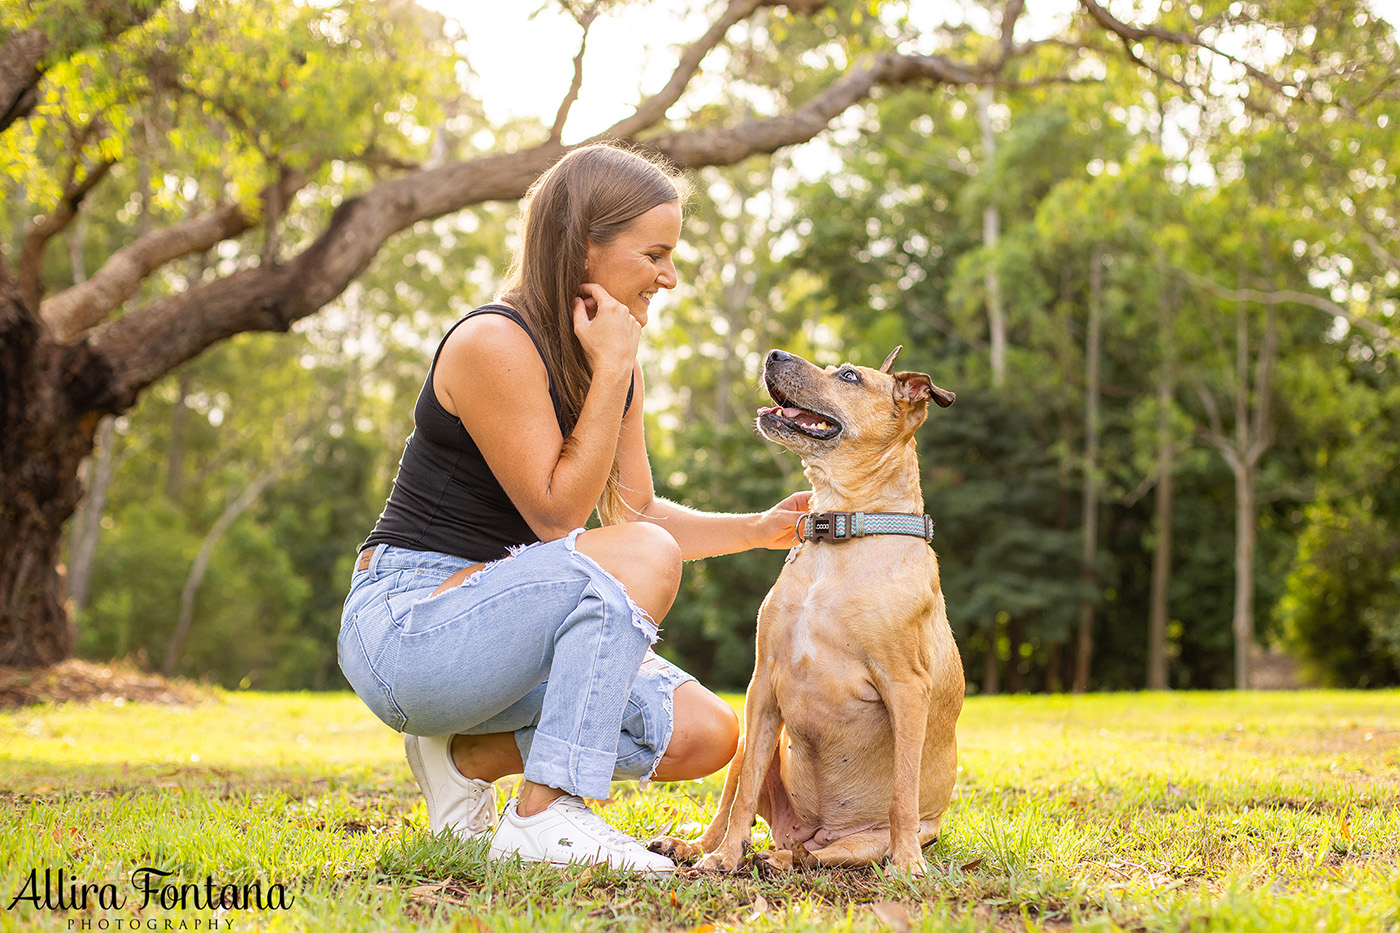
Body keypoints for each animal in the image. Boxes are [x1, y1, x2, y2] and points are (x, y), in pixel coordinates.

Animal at [652, 344, 963, 868]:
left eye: (850, 376)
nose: (773, 353)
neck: (841, 530)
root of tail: (809, 830)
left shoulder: (906, 688)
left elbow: (903, 789)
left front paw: (907, 865)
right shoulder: (762, 683)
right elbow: (742, 795)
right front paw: (724, 858)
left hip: (858, 842)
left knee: (820, 856)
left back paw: (782, 859)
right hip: (749, 738)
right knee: (735, 802)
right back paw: (701, 847)